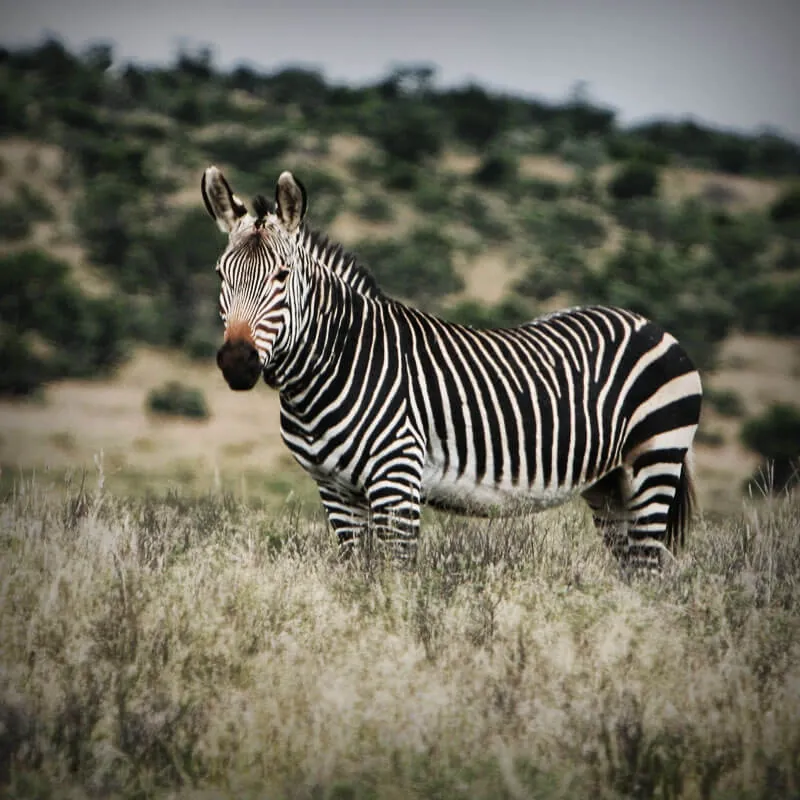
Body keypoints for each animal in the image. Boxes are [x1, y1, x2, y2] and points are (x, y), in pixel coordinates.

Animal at [203, 166, 704, 572]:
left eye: (282, 276)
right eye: (221, 274)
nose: (237, 363)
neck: (334, 365)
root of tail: (648, 323)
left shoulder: (397, 478)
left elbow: (395, 578)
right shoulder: (336, 490)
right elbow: (357, 577)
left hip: (654, 461)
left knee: (648, 567)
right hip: (609, 485)